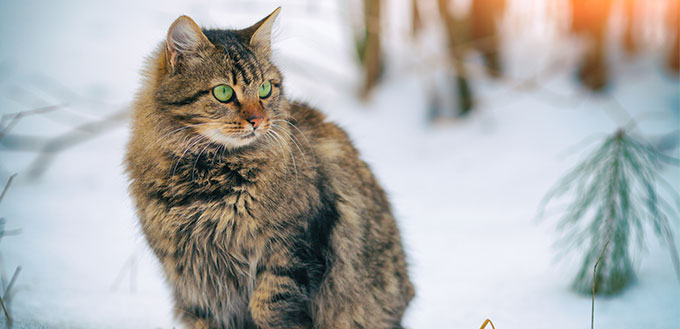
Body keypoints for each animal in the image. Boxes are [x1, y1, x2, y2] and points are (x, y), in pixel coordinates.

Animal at [127, 7, 414, 328]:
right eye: (223, 92)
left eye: (265, 88)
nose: (257, 120)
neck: (208, 181)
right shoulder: (194, 285)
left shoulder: (295, 245)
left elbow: (267, 305)